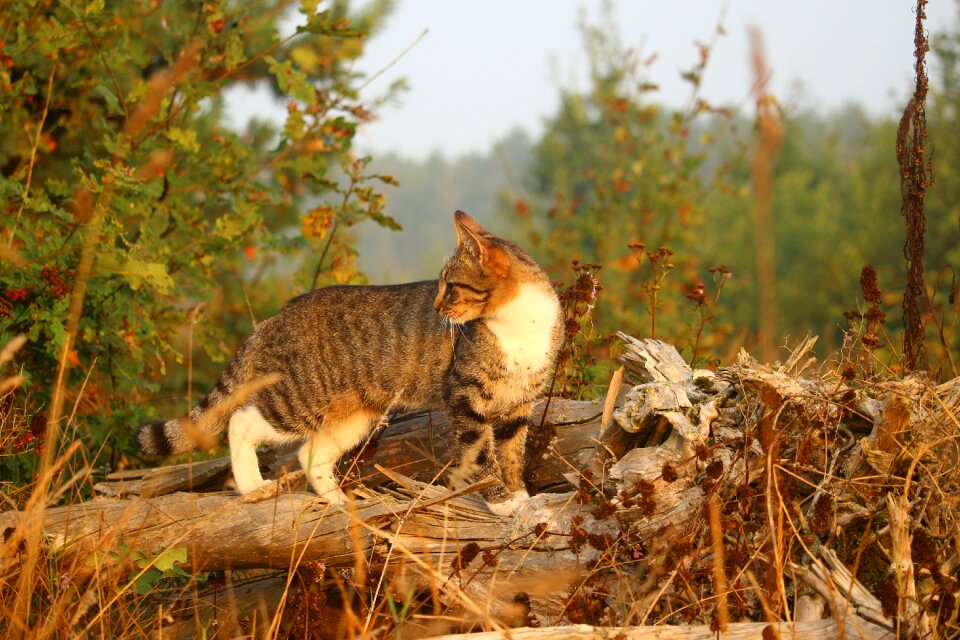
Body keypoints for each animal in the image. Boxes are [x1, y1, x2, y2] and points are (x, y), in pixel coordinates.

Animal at [139, 210, 568, 516]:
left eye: (450, 286)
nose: (435, 306)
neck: (520, 323)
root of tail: (274, 317)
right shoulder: (462, 394)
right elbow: (481, 451)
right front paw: (501, 501)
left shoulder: (518, 404)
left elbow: (511, 453)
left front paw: (519, 495)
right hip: (298, 399)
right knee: (241, 423)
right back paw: (253, 487)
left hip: (356, 414)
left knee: (309, 454)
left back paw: (337, 502)